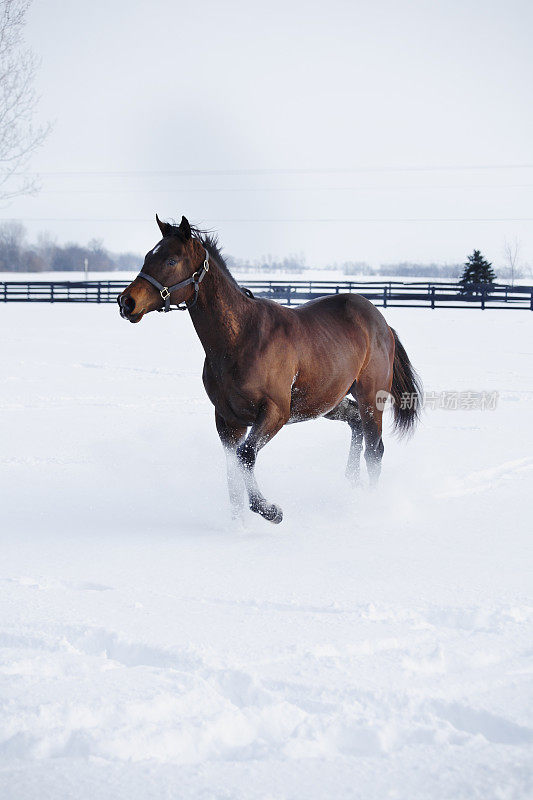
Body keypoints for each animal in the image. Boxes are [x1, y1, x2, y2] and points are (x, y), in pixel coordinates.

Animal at [118, 216, 422, 520]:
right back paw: (351, 484)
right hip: (327, 402)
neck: (241, 339)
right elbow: (233, 472)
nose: (126, 302)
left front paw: (269, 510)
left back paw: (368, 502)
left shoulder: (275, 412)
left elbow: (246, 456)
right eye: (147, 256)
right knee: (356, 425)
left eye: (171, 260)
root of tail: (382, 322)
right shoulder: (228, 419)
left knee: (374, 449)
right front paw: (238, 523)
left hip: (371, 398)